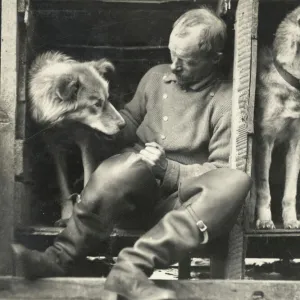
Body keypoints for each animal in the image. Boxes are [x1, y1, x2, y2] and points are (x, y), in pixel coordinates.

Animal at [29, 52, 125, 225]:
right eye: (97, 104)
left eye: (108, 98)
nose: (123, 124)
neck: (68, 124)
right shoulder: (56, 149)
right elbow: (62, 183)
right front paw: (67, 215)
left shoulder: (86, 144)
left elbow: (88, 177)